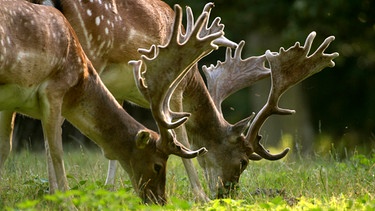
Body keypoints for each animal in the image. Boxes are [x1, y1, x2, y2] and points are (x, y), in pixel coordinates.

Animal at [0, 0, 232, 204]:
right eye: (238, 153)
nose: (227, 191)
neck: (191, 80)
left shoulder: (118, 92)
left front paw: (109, 190)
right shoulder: (175, 93)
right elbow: (182, 136)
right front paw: (201, 196)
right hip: (90, 54)